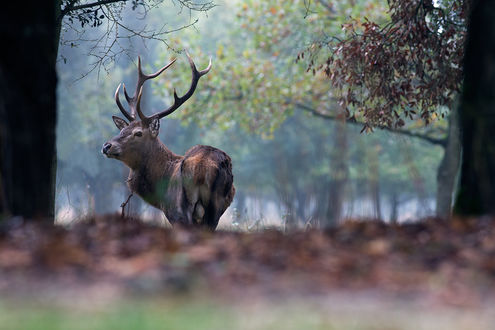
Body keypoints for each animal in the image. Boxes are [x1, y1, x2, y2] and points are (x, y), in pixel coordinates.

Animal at [101, 53, 235, 229]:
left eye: (138, 133)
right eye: (122, 130)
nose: (106, 146)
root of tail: (202, 169)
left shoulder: (172, 212)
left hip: (182, 207)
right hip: (216, 208)